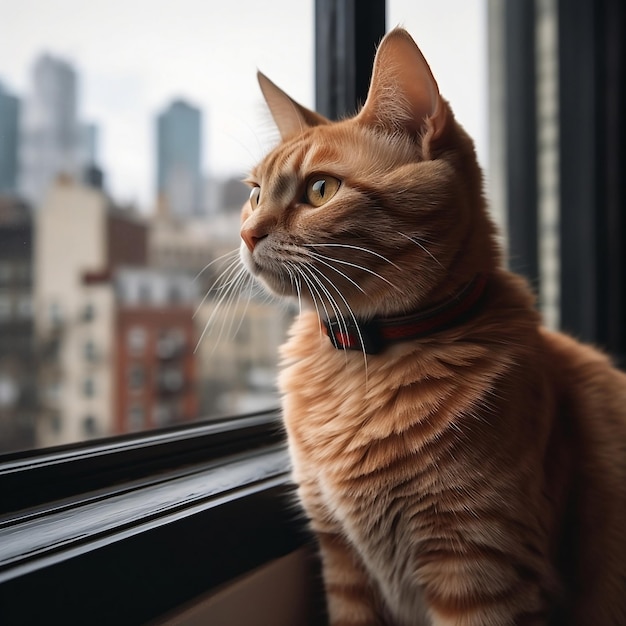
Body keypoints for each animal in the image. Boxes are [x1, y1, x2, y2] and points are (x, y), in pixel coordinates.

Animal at [238, 28, 624, 620]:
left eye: (321, 190)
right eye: (255, 194)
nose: (247, 233)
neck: (360, 360)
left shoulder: (480, 568)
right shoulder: (344, 567)